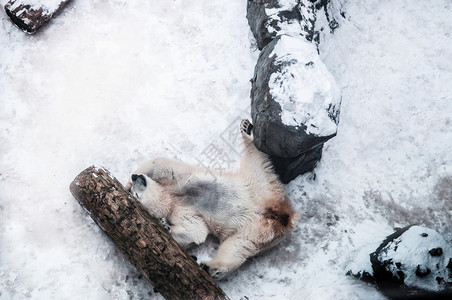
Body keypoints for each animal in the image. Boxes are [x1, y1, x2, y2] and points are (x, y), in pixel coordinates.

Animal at [126, 119, 300, 278]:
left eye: (136, 192)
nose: (135, 178)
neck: (175, 198)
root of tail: (283, 217)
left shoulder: (184, 181)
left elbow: (162, 164)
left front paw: (127, 183)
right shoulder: (184, 211)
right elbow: (196, 231)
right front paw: (165, 225)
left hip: (258, 187)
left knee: (256, 160)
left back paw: (247, 130)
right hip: (256, 232)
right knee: (235, 248)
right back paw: (210, 268)